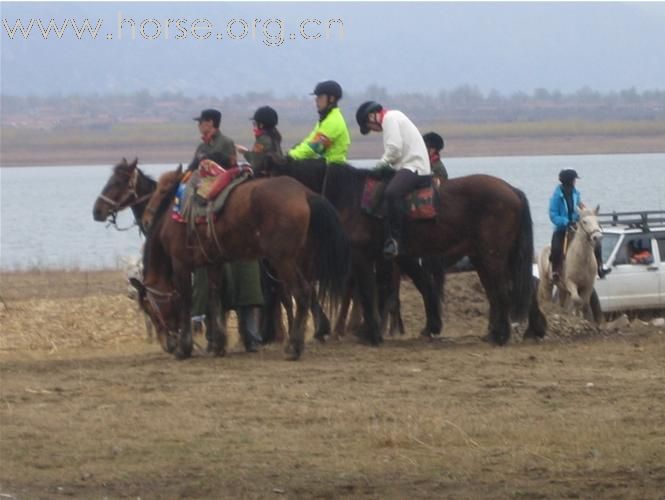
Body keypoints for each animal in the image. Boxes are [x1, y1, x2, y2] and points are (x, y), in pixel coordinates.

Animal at [138, 168, 350, 360]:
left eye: (148, 308)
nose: (167, 345)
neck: (172, 218)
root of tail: (305, 193)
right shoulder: (213, 262)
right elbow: (215, 298)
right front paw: (219, 344)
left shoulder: (181, 264)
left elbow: (186, 302)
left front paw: (184, 348)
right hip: (301, 260)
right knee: (307, 292)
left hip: (284, 260)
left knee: (301, 293)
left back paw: (293, 348)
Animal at [262, 158, 548, 346]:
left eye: (264, 171)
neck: (351, 196)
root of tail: (512, 191)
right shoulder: (389, 259)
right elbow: (389, 291)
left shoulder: (364, 258)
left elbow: (370, 293)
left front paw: (371, 333)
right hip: (486, 257)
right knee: (503, 291)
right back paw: (509, 331)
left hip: (493, 255)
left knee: (504, 291)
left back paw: (504, 335)